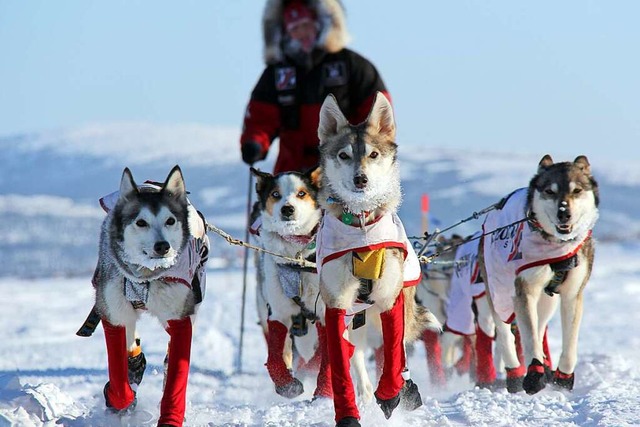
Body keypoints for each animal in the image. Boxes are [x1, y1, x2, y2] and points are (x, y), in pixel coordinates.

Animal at [87, 167, 208, 427]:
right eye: (141, 222)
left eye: (170, 220)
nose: (162, 246)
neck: (145, 276)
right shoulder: (114, 314)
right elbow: (118, 378)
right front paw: (119, 396)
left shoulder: (180, 318)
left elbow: (176, 377)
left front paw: (171, 417)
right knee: (131, 340)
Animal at [316, 92, 440, 426]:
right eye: (344, 155)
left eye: (373, 154)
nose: (361, 179)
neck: (360, 224)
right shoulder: (336, 304)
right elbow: (341, 365)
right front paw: (349, 413)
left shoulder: (390, 300)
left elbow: (394, 357)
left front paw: (391, 395)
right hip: (352, 320)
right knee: (356, 356)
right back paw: (366, 393)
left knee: (398, 353)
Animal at [480, 155, 600, 396]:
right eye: (550, 191)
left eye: (576, 190)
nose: (564, 212)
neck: (557, 245)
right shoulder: (524, 291)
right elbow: (530, 338)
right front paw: (534, 375)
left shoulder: (573, 295)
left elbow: (570, 343)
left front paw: (563, 378)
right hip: (498, 294)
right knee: (506, 334)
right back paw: (516, 374)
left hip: (547, 303)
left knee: (540, 325)